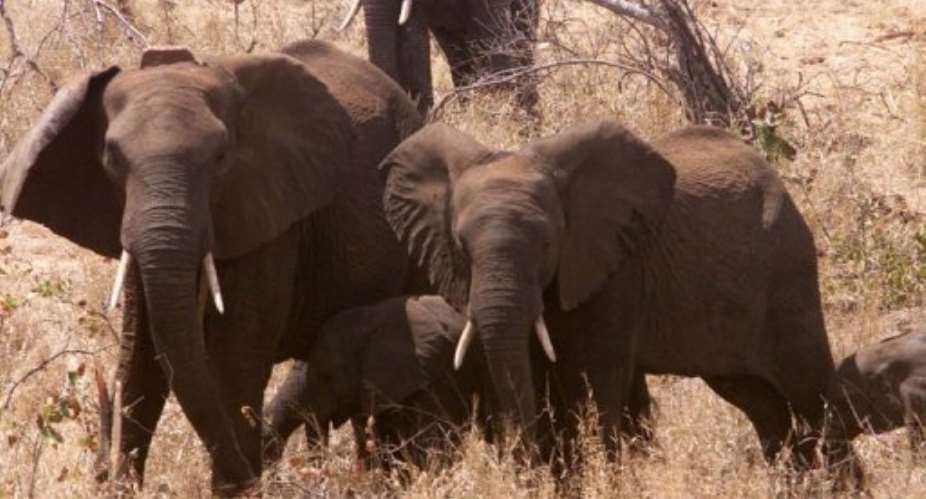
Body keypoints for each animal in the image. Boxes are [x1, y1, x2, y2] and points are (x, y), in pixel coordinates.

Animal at [0, 39, 426, 494]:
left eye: (221, 157)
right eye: (111, 159)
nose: (257, 481)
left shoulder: (270, 215)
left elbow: (233, 363)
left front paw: (235, 489)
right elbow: (141, 361)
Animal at [378, 120, 863, 483]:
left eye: (549, 244)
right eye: (461, 245)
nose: (522, 466)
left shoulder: (616, 271)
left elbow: (593, 383)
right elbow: (534, 371)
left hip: (788, 273)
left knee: (810, 392)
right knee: (763, 405)